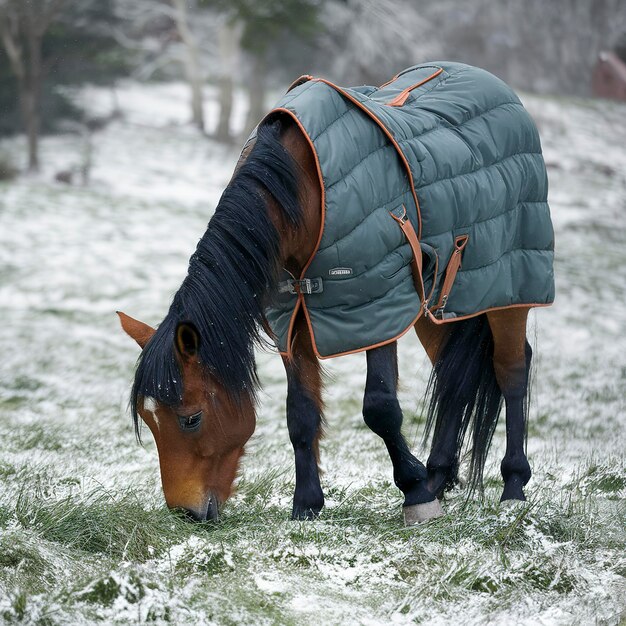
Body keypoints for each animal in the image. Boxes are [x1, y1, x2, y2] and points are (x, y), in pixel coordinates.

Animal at [119, 116, 532, 520]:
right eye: (148, 419)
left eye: (191, 418)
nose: (185, 513)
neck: (300, 190)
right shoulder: (292, 321)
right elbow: (301, 414)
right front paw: (306, 504)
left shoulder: (375, 310)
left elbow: (380, 408)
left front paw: (415, 493)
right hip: (436, 305)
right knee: (452, 374)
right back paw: (439, 476)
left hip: (509, 290)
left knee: (511, 367)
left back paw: (512, 487)